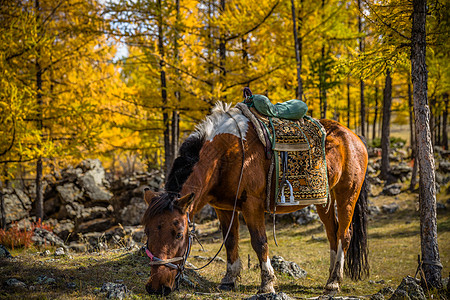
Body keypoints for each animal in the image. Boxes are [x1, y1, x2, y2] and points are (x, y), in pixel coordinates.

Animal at [142, 102, 370, 296]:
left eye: (179, 234)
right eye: (147, 232)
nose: (156, 288)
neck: (224, 154)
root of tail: (353, 136)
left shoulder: (252, 205)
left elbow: (259, 242)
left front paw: (267, 284)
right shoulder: (224, 208)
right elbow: (230, 241)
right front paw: (229, 280)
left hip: (347, 194)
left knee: (344, 234)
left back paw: (334, 282)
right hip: (324, 200)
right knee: (332, 233)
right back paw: (331, 276)